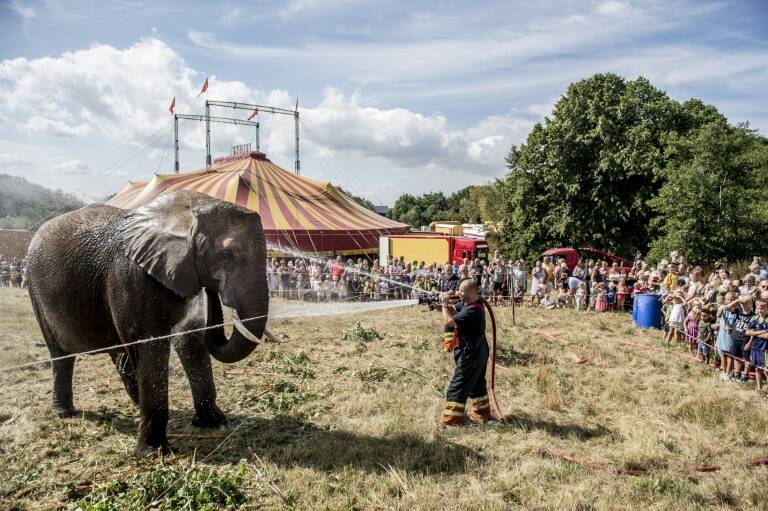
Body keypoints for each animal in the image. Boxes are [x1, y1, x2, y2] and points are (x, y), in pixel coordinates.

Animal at [26, 191, 270, 456]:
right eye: (226, 256)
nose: (213, 290)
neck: (182, 211)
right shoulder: (130, 278)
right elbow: (151, 347)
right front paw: (154, 453)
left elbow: (190, 340)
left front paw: (214, 423)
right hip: (35, 290)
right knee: (61, 355)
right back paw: (65, 412)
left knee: (119, 350)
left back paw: (136, 401)